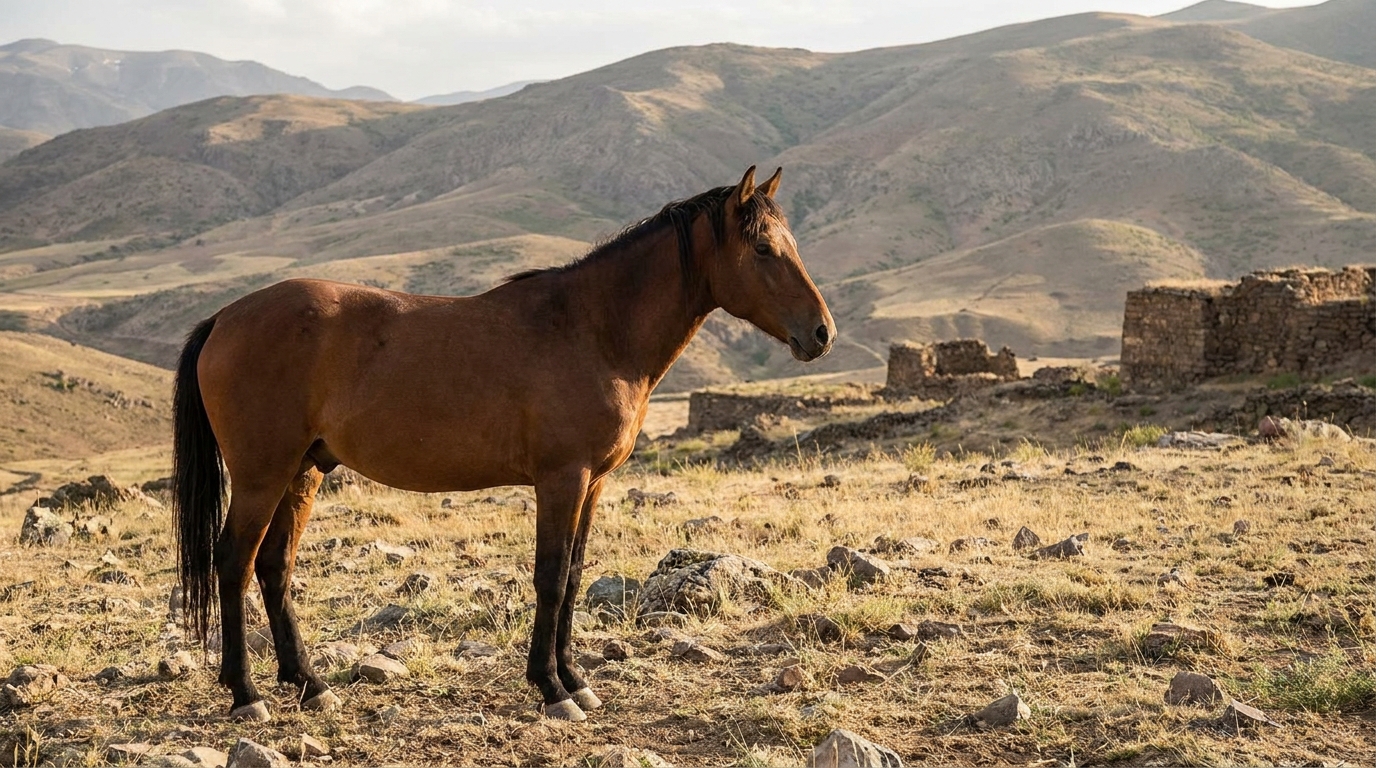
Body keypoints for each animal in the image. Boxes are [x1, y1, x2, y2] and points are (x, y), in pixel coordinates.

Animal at [172, 165, 835, 723]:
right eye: (763, 249)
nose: (822, 334)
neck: (592, 328)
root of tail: (224, 317)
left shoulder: (592, 483)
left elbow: (573, 576)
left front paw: (576, 681)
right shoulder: (562, 479)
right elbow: (550, 576)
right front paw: (551, 688)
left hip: (303, 472)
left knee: (273, 566)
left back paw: (310, 684)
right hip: (262, 475)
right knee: (233, 563)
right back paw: (246, 695)